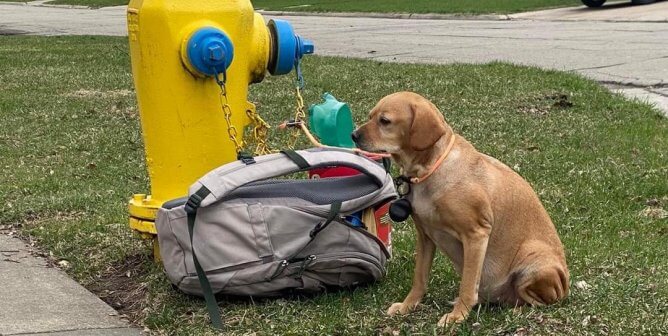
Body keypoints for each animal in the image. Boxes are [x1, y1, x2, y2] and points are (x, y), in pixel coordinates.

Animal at [350, 91, 568, 326]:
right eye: (371, 116)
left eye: (385, 121)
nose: (353, 135)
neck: (429, 169)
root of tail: (565, 285)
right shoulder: (425, 236)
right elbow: (419, 278)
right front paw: (408, 306)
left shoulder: (476, 234)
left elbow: (467, 284)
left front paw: (457, 316)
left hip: (534, 262)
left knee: (538, 301)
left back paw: (517, 311)